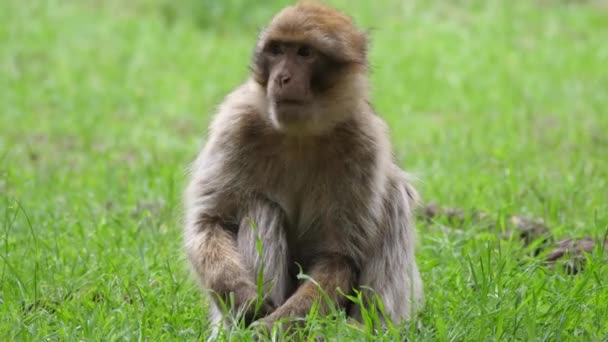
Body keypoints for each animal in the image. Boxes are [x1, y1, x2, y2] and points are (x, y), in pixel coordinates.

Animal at [184, 0, 422, 336]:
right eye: (277, 50)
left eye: (304, 53)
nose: (282, 77)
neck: (300, 133)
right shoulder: (235, 122)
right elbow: (209, 221)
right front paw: (243, 298)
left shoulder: (365, 143)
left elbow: (337, 256)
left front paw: (273, 326)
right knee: (260, 207)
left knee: (394, 199)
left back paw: (360, 330)